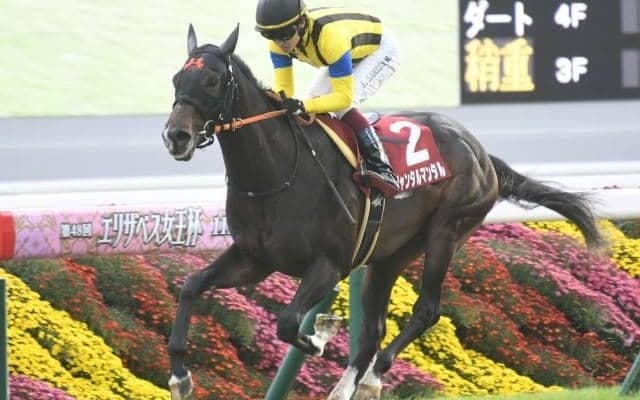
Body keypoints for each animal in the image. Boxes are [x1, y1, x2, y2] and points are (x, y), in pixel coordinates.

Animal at [162, 24, 605, 400]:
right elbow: (191, 286)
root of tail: (481, 153)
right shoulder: (254, 258)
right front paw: (180, 377)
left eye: (212, 80)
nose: (176, 137)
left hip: (446, 232)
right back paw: (345, 388)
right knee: (373, 329)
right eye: (176, 80)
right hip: (388, 256)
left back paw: (373, 377)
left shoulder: (328, 265)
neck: (277, 173)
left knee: (426, 310)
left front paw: (321, 335)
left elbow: (289, 322)